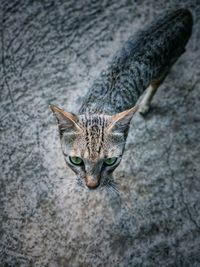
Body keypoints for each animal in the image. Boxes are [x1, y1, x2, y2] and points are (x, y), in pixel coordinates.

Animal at [49, 8, 192, 191]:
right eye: (76, 160)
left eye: (110, 161)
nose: (92, 185)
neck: (99, 108)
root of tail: (184, 12)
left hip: (165, 67)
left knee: (156, 84)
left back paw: (145, 104)